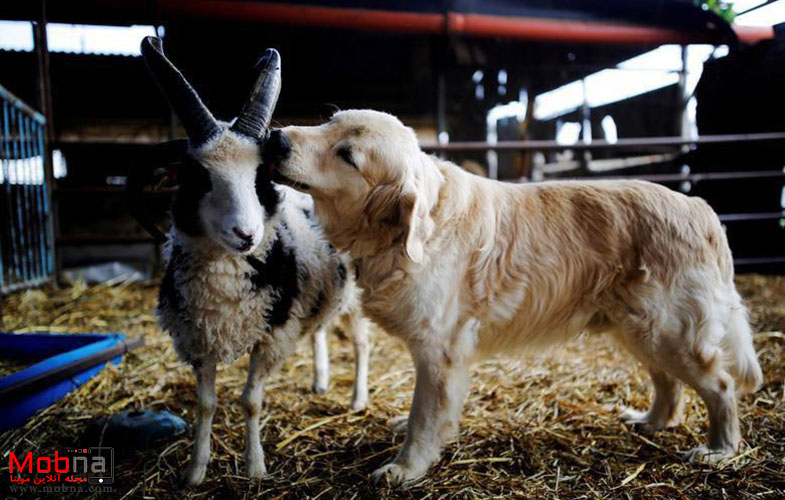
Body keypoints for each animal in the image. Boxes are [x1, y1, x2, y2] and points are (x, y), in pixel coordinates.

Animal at [262, 108, 760, 484]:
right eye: (330, 121)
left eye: (347, 155)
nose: (274, 138)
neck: (407, 232)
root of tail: (700, 207)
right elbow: (425, 410)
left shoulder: (441, 350)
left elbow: (426, 415)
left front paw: (406, 467)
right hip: (638, 328)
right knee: (669, 385)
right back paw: (650, 422)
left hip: (668, 331)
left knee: (720, 385)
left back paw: (720, 449)